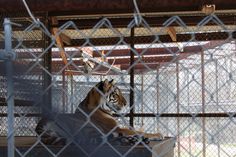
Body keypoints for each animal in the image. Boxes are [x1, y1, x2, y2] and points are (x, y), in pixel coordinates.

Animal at [35, 79, 163, 145]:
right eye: (116, 94)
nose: (126, 103)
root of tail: (40, 127)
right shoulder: (115, 128)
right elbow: (138, 131)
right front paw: (157, 135)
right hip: (90, 129)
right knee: (106, 140)